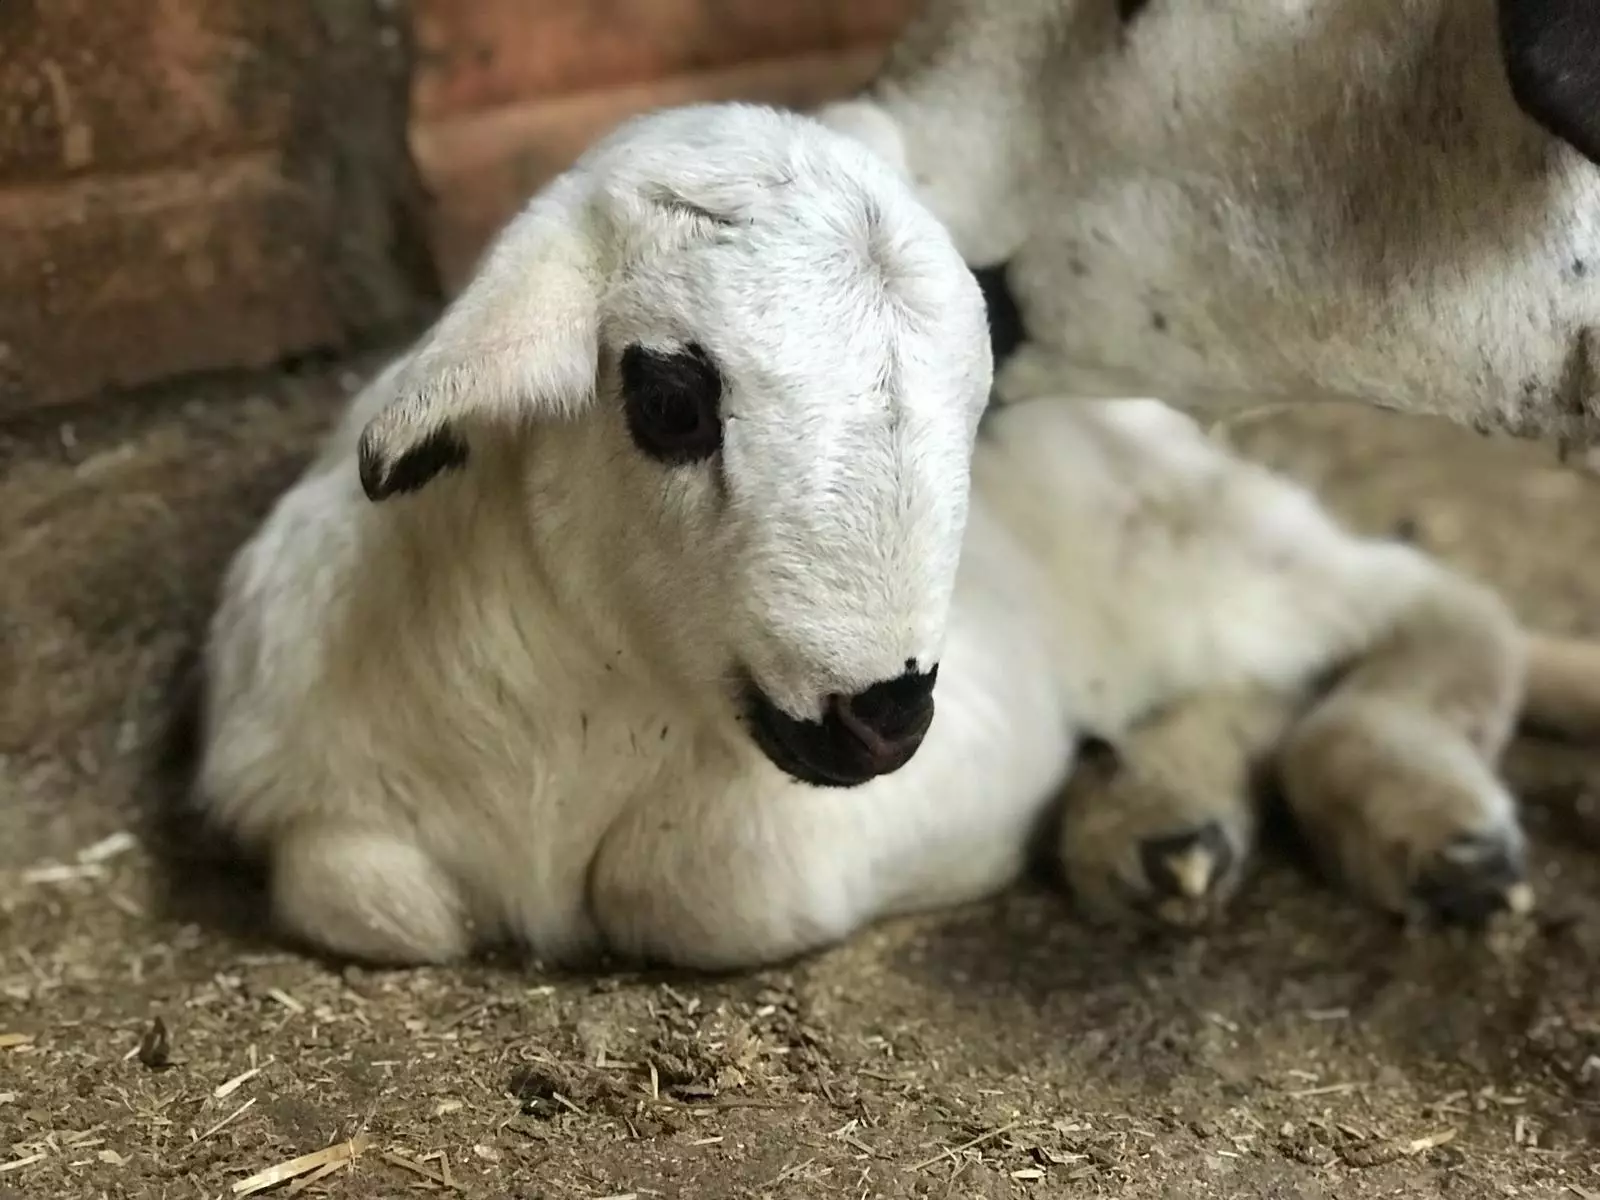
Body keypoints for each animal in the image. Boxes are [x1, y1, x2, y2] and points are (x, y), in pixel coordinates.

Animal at [196, 98, 1600, 972]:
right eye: (669, 399)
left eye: (975, 399)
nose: (883, 716)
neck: (583, 714)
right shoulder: (307, 787)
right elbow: (368, 892)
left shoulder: (965, 748)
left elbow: (700, 881)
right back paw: (1162, 826)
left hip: (1190, 544)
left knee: (1434, 604)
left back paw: (1430, 828)